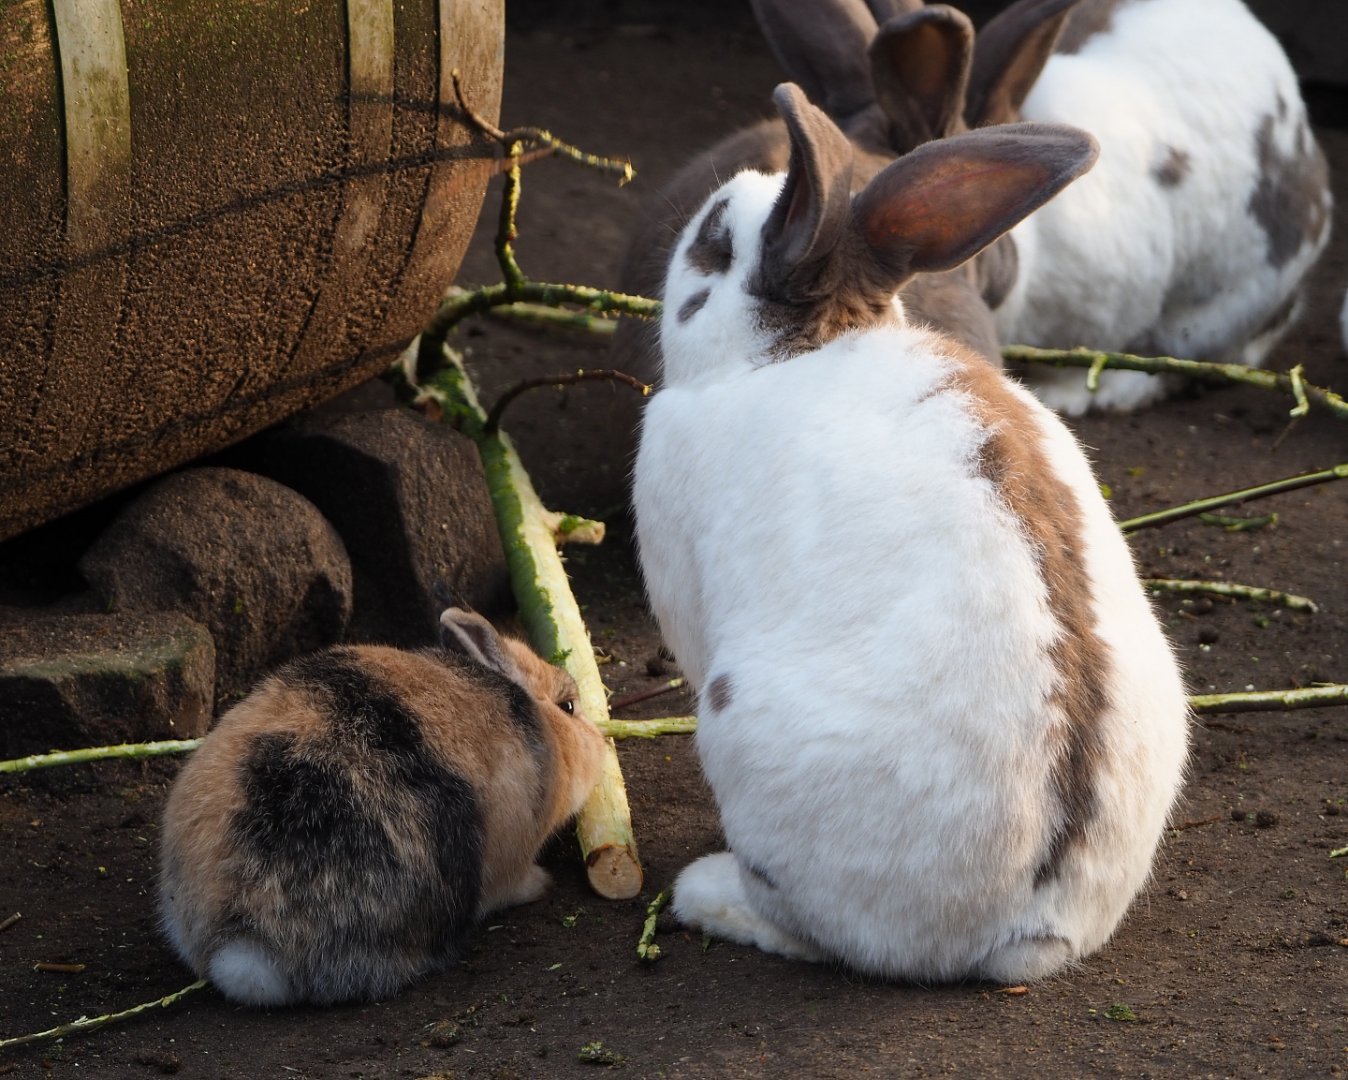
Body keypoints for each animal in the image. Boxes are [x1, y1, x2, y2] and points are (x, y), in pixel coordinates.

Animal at [632, 83, 1190, 984]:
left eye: (717, 245)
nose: (696, 224)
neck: (794, 349)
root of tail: (1025, 926)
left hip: (738, 730)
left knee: (817, 933)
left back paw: (708, 895)